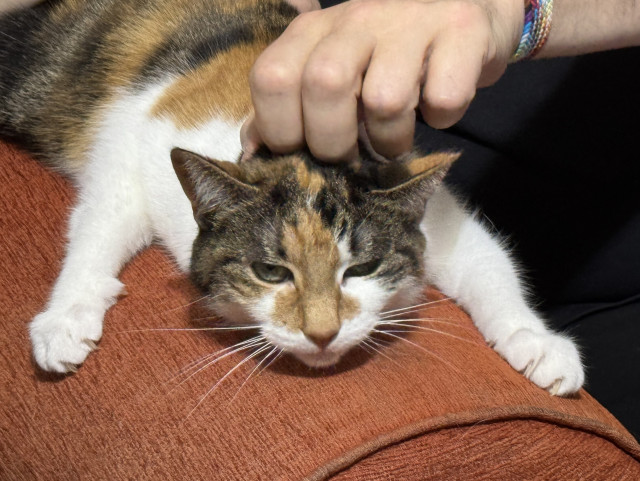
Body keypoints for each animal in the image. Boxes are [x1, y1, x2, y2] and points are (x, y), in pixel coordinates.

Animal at [0, 0, 584, 394]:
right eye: (271, 273)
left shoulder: (422, 202)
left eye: (362, 269)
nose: (323, 334)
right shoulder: (128, 152)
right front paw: (65, 317)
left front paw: (536, 341)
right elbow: (97, 223)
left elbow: (484, 258)